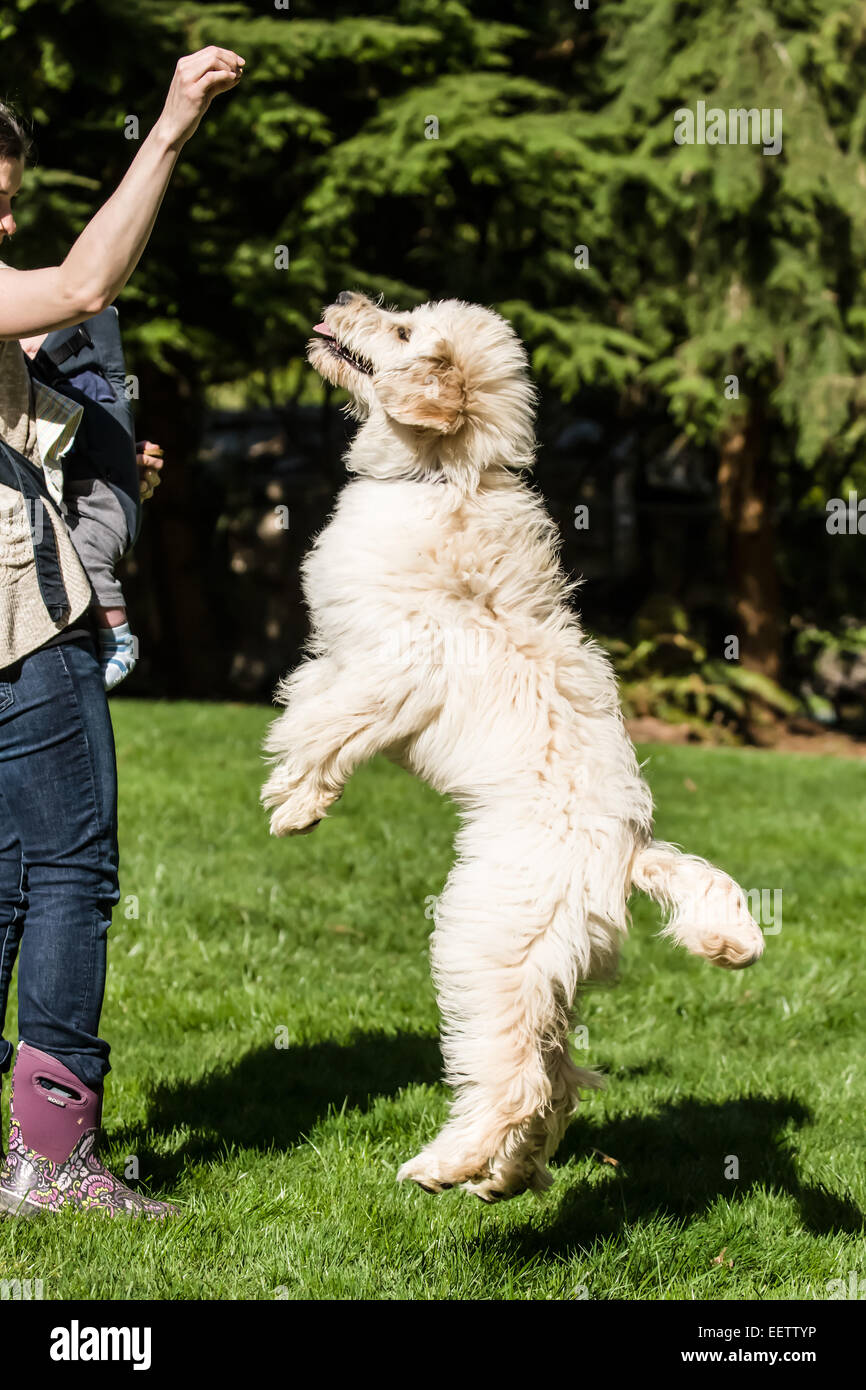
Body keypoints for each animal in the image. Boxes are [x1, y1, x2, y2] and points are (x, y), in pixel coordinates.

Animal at [258, 290, 767, 1206]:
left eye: (400, 331)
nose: (342, 299)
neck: (444, 478)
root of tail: (624, 855)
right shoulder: (368, 659)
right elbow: (319, 700)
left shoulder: (396, 664)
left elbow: (326, 718)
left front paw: (295, 801)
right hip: (544, 976)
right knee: (556, 1081)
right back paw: (504, 1176)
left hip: (483, 946)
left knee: (520, 1081)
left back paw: (447, 1166)